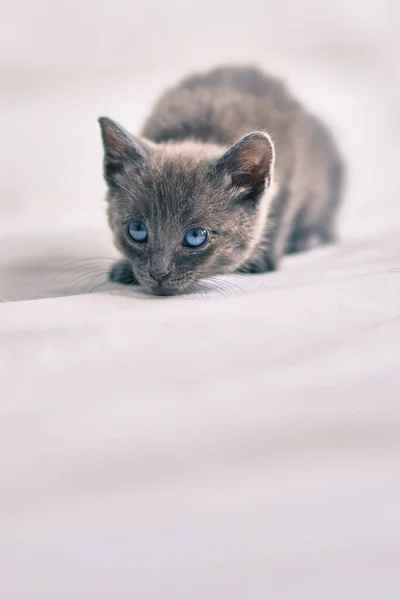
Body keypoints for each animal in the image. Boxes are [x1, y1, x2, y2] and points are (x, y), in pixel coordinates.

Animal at [99, 65, 344, 296]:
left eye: (195, 236)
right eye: (137, 230)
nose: (158, 273)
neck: (201, 134)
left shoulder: (290, 172)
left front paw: (260, 259)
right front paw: (126, 268)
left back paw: (308, 237)